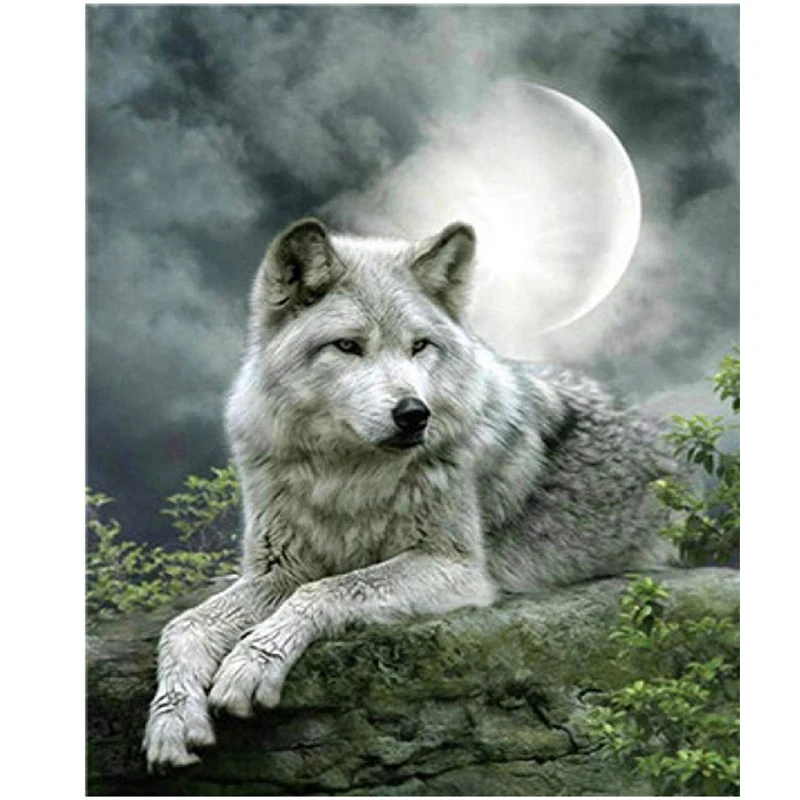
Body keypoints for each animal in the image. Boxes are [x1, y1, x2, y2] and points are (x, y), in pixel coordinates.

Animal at [143, 218, 677, 770]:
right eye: (348, 346)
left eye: (419, 346)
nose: (414, 414)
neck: (346, 476)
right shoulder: (278, 571)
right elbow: (182, 625)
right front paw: (171, 719)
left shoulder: (455, 567)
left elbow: (328, 589)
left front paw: (251, 662)